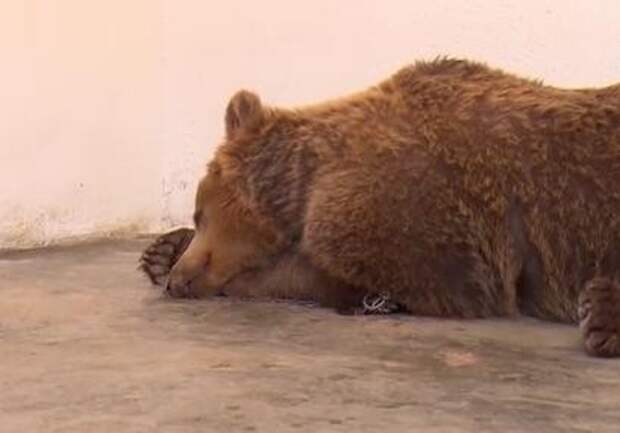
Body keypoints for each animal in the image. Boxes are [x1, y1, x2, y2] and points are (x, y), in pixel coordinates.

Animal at [140, 57, 620, 356]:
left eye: (200, 210)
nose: (179, 281)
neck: (304, 187)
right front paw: (161, 251)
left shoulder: (417, 214)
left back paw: (602, 315)